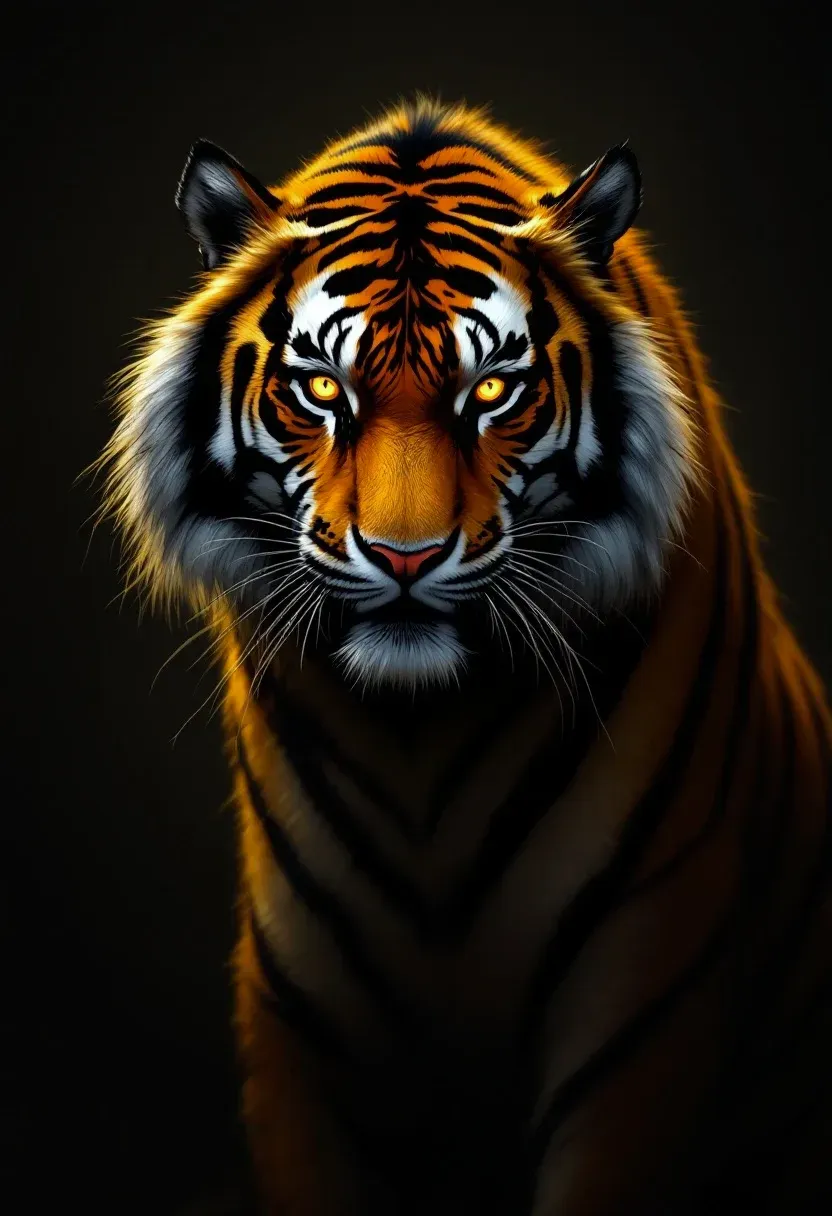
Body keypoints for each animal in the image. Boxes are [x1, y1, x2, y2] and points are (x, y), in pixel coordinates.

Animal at [100, 98, 832, 1214]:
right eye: (321, 387)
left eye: (492, 390)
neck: (421, 742)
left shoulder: (641, 1008)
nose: (405, 556)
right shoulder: (300, 1026)